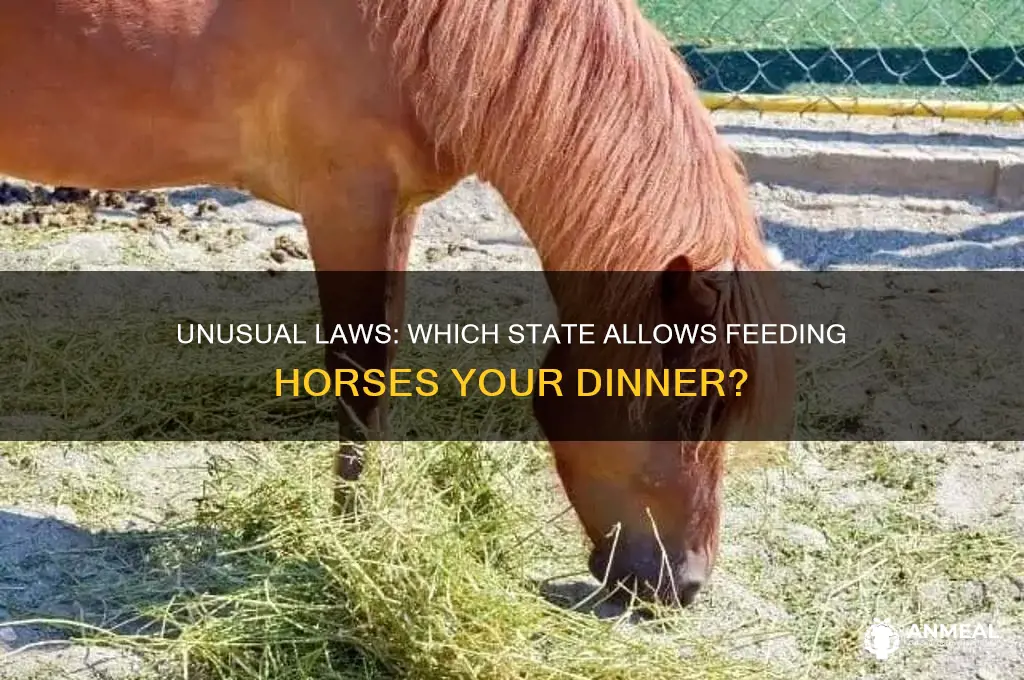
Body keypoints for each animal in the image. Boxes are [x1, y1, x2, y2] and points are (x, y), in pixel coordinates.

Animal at [0, 0, 794, 607]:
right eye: (693, 404)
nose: (683, 586)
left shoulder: (396, 211)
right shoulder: (347, 205)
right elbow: (359, 373)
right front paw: (353, 543)